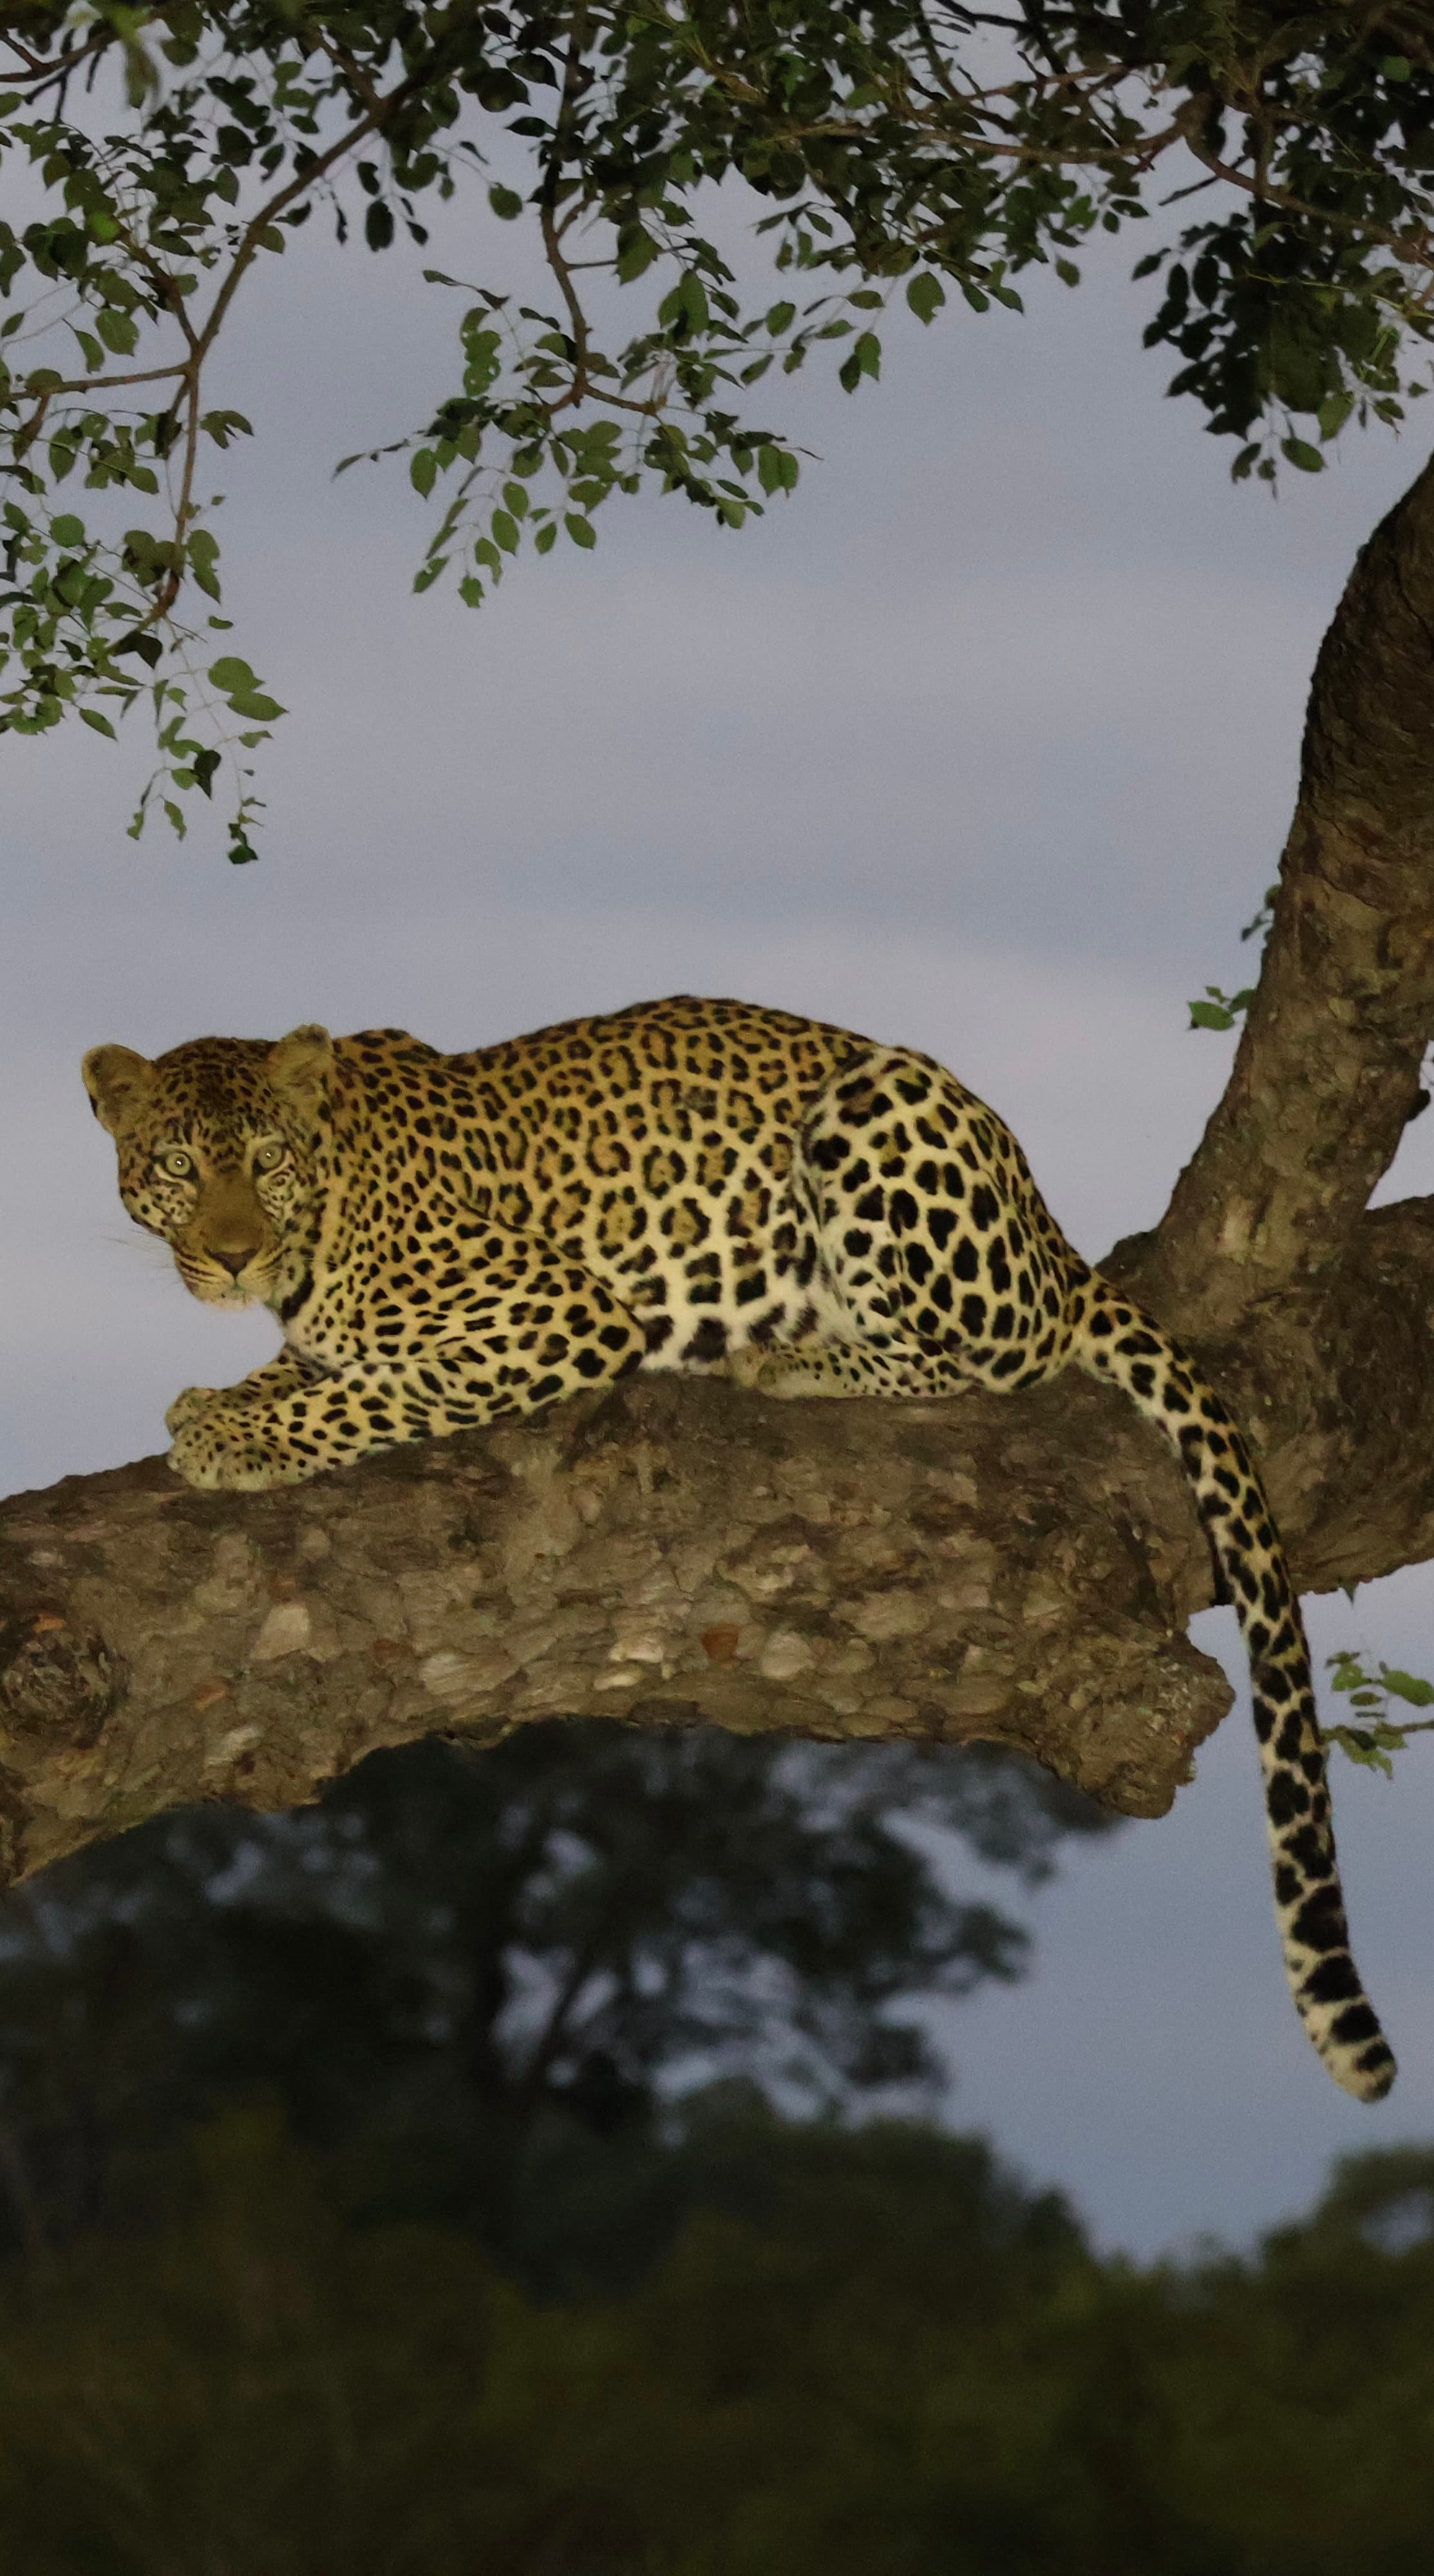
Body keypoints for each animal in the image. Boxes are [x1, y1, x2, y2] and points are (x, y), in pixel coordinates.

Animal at [83, 991, 1394, 2105]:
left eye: (264, 1161)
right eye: (180, 1165)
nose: (234, 1254)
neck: (328, 1211)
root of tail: (1052, 1230)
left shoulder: (558, 1317)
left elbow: (373, 1390)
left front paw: (232, 1432)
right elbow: (314, 1364)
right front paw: (229, 1393)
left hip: (881, 1124)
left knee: (995, 1354)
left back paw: (789, 1354)